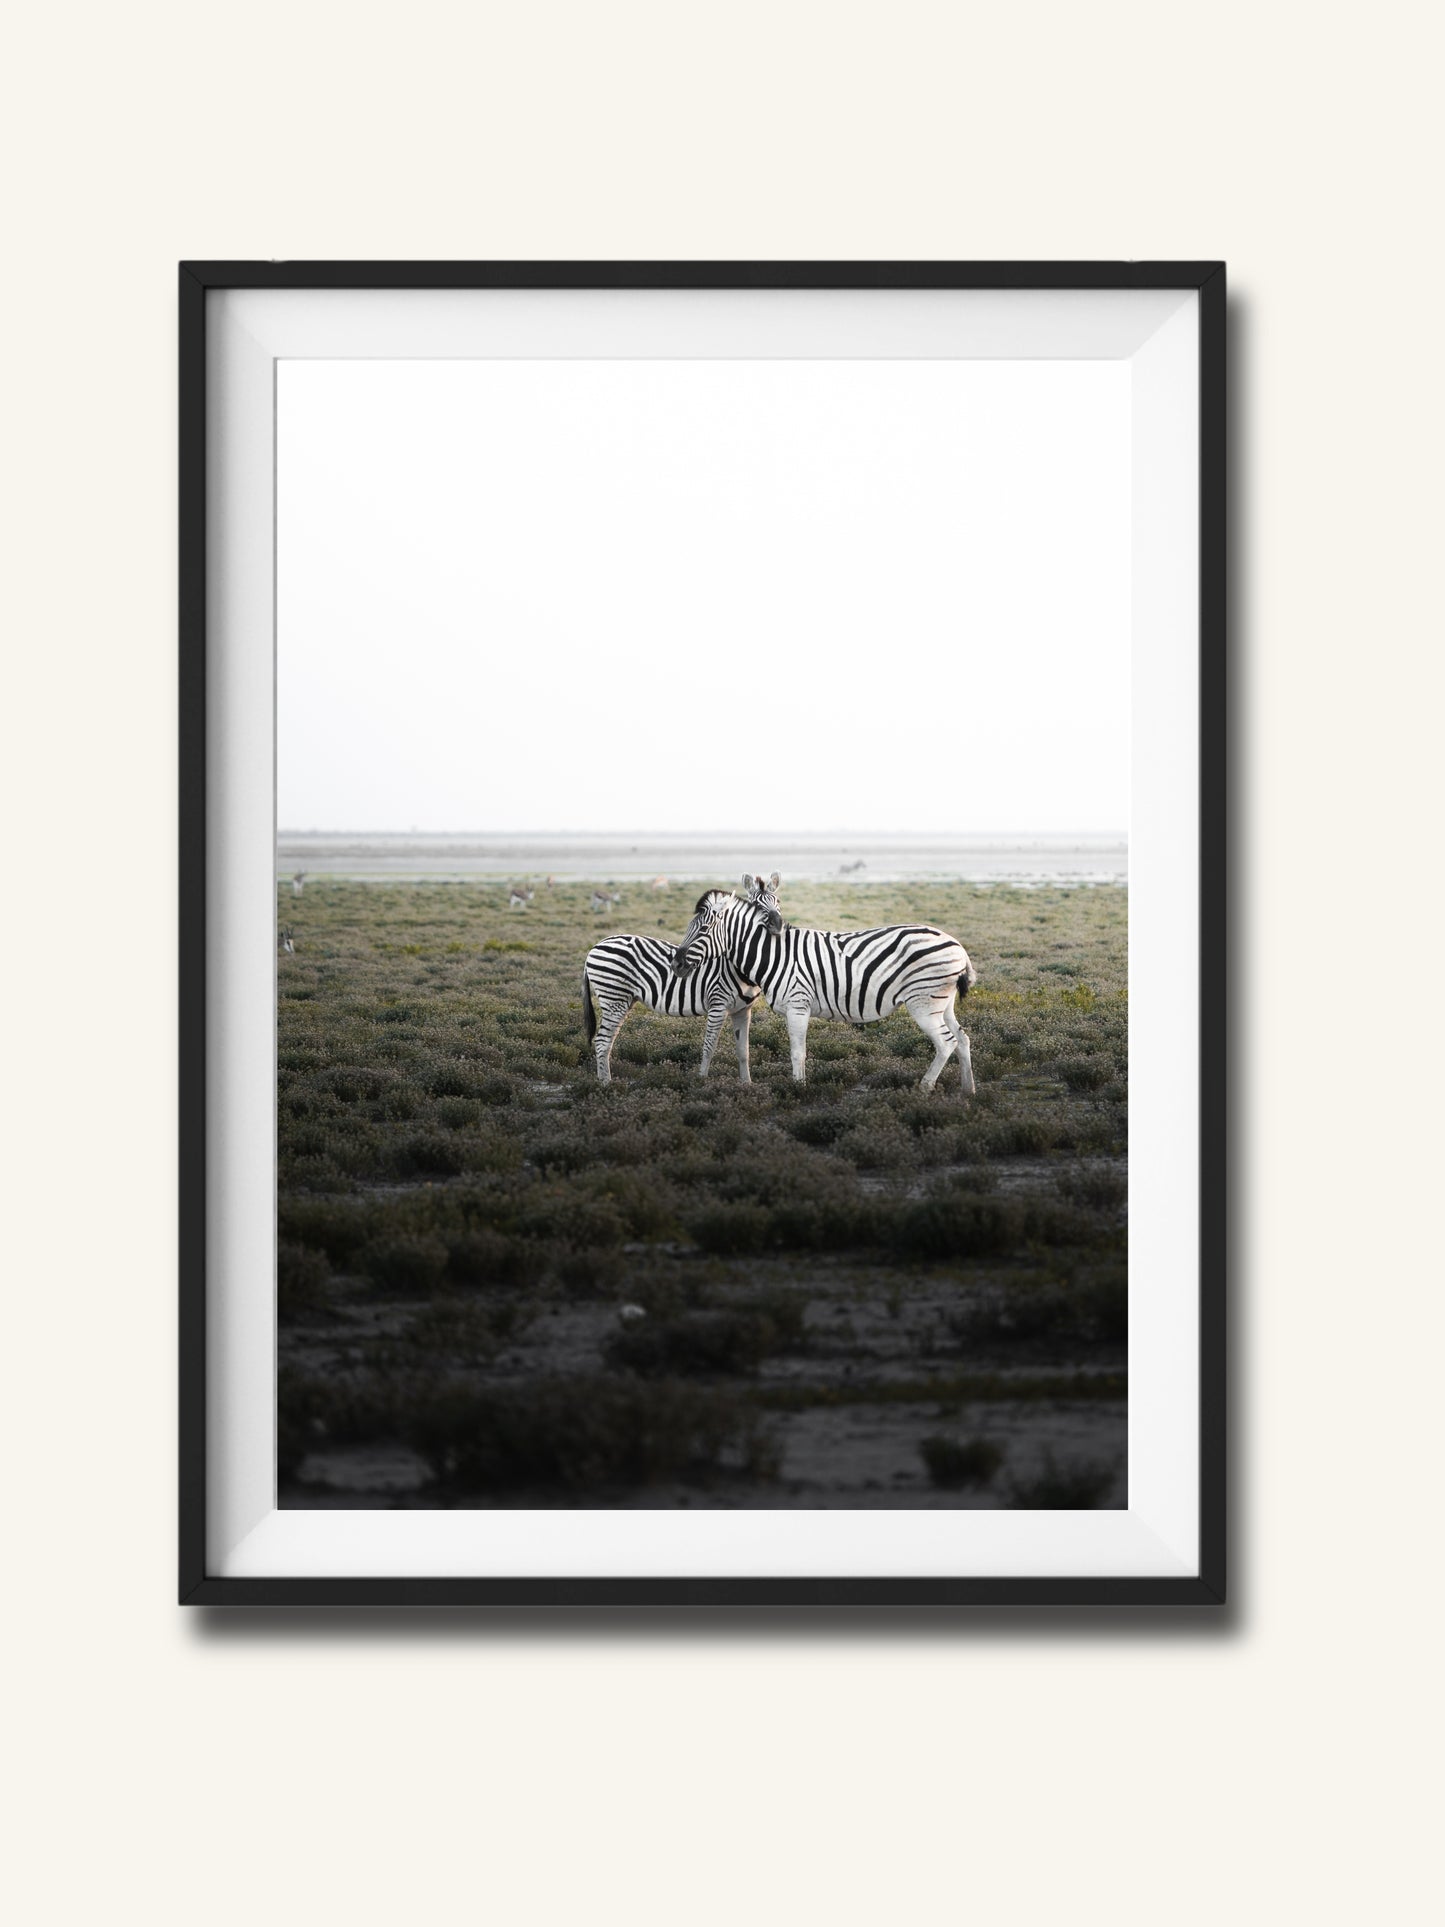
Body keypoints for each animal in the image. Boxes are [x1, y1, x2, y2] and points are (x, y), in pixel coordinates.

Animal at [582, 899, 763, 1084]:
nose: (677, 965)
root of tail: (595, 947)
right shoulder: (717, 1004)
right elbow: (709, 1047)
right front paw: (702, 1081)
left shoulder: (743, 1010)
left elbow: (743, 1051)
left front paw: (747, 1084)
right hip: (613, 996)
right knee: (602, 1041)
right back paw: (606, 1084)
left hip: (623, 1000)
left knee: (607, 1040)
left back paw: (603, 1080)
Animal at [672, 874, 978, 1093]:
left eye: (703, 929)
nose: (676, 964)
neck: (774, 954)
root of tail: (958, 945)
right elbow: (799, 1052)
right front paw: (801, 1086)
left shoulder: (797, 1005)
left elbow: (797, 1053)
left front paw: (798, 1090)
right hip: (942, 1003)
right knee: (962, 1038)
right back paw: (968, 1091)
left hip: (923, 1002)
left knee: (947, 1042)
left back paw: (924, 1088)